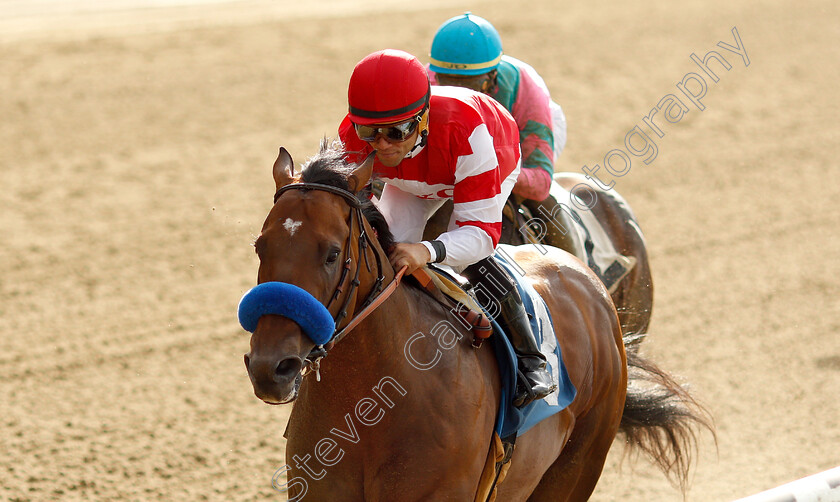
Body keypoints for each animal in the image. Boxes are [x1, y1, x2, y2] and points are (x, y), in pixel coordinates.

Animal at [241, 143, 708, 500]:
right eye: (260, 246)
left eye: (332, 253)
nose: (270, 368)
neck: (370, 406)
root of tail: (583, 275)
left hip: (576, 467)